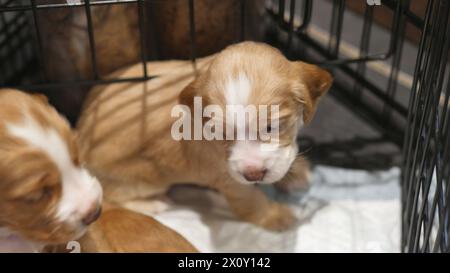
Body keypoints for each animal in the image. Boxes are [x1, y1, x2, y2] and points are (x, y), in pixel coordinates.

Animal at [76, 41, 330, 231]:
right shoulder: (228, 178)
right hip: (141, 180)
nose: (253, 174)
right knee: (111, 199)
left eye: (271, 127)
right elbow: (251, 201)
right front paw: (278, 217)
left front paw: (295, 174)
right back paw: (153, 205)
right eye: (222, 134)